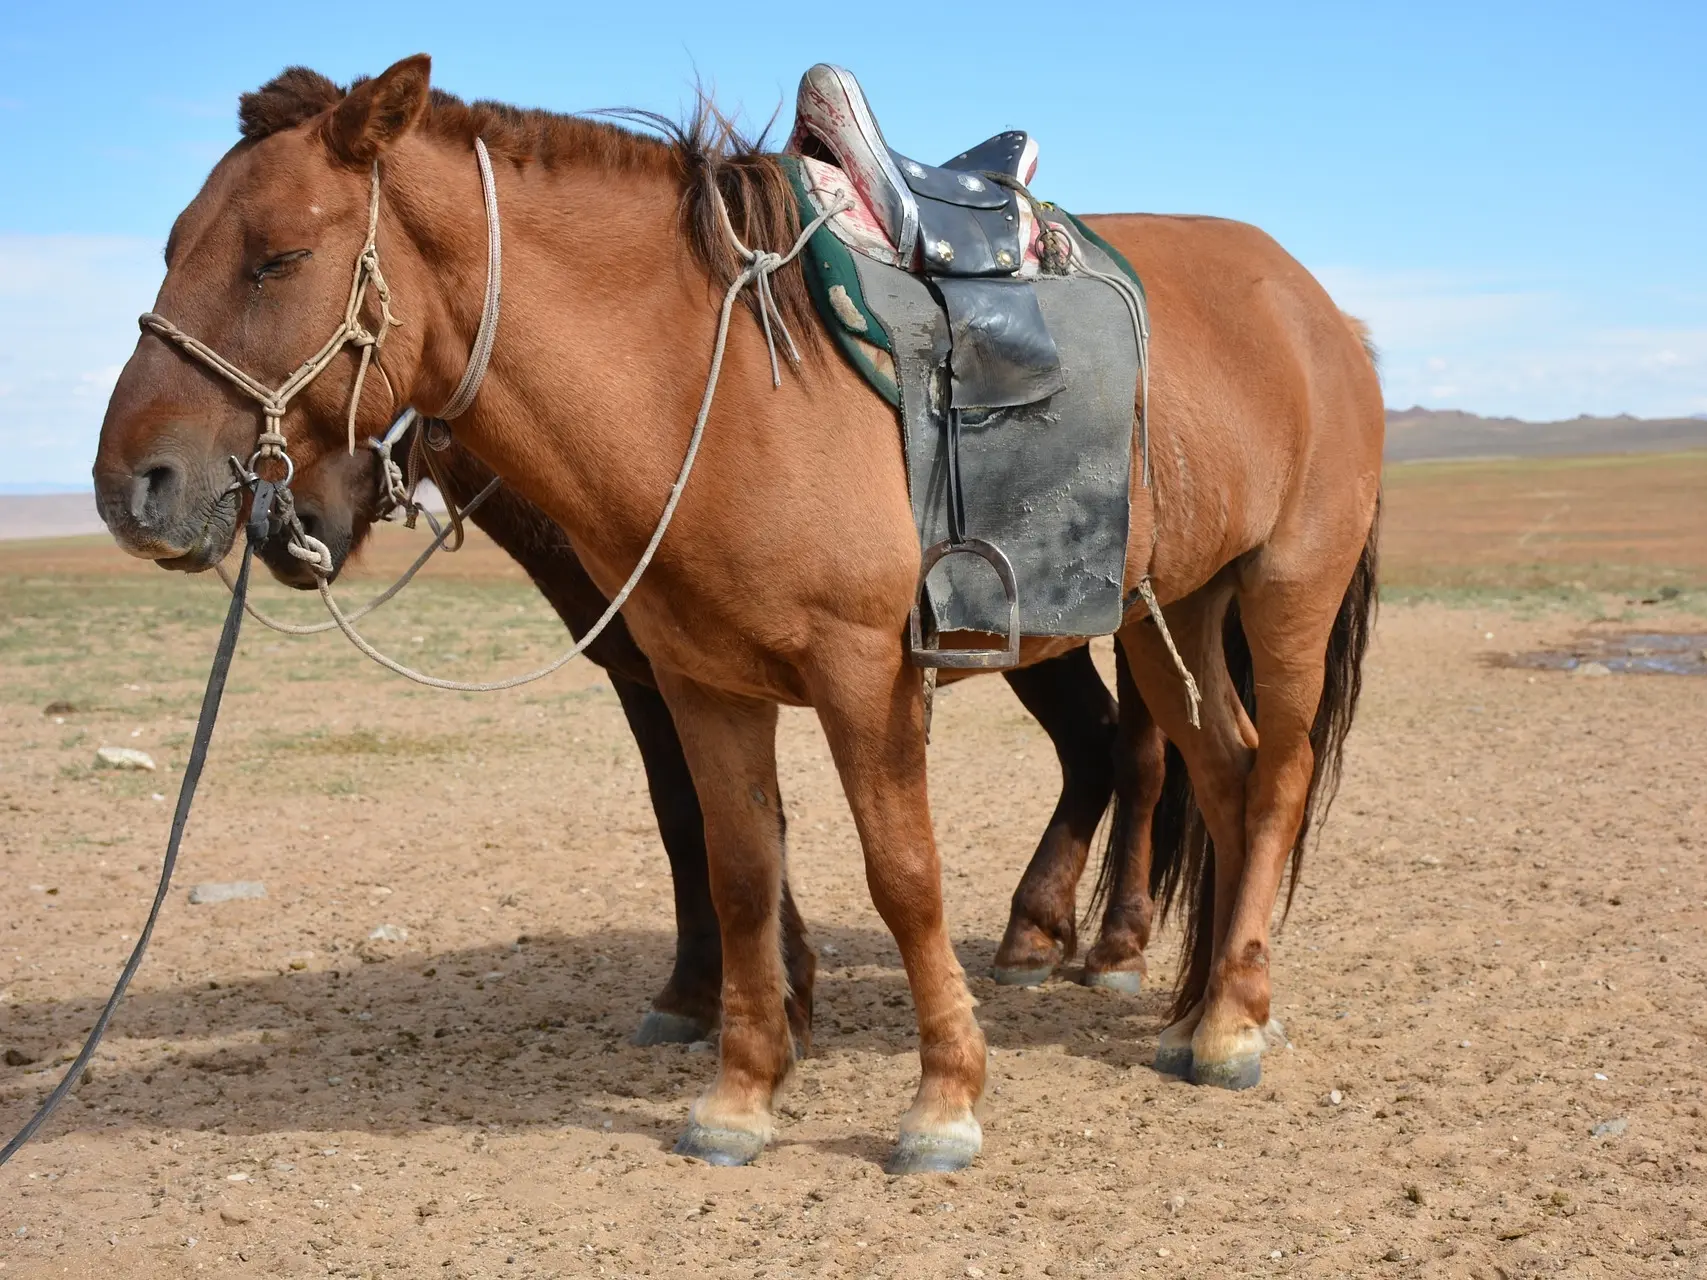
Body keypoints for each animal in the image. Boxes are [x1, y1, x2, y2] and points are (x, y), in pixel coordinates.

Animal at [93, 57, 1379, 1174]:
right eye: (171, 246)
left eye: (277, 257)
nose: (131, 485)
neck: (711, 386)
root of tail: (1321, 309)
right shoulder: (699, 680)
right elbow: (739, 864)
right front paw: (741, 1092)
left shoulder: (865, 675)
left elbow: (903, 874)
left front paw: (944, 1100)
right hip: (1175, 611)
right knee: (1219, 765)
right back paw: (1201, 1003)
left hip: (1283, 594)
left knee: (1270, 774)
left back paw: (1225, 1020)